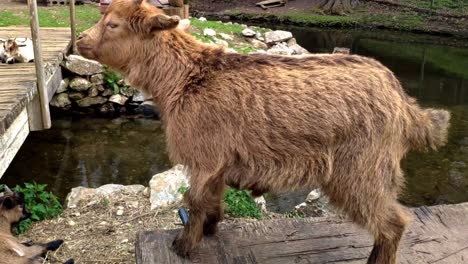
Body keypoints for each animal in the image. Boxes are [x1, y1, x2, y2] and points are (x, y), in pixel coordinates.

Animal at [76, 1, 450, 262]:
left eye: (112, 24)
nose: (79, 39)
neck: (187, 78)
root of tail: (404, 101)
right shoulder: (219, 162)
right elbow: (211, 199)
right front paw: (210, 229)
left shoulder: (204, 156)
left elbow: (194, 200)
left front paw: (183, 245)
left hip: (362, 168)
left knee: (394, 221)